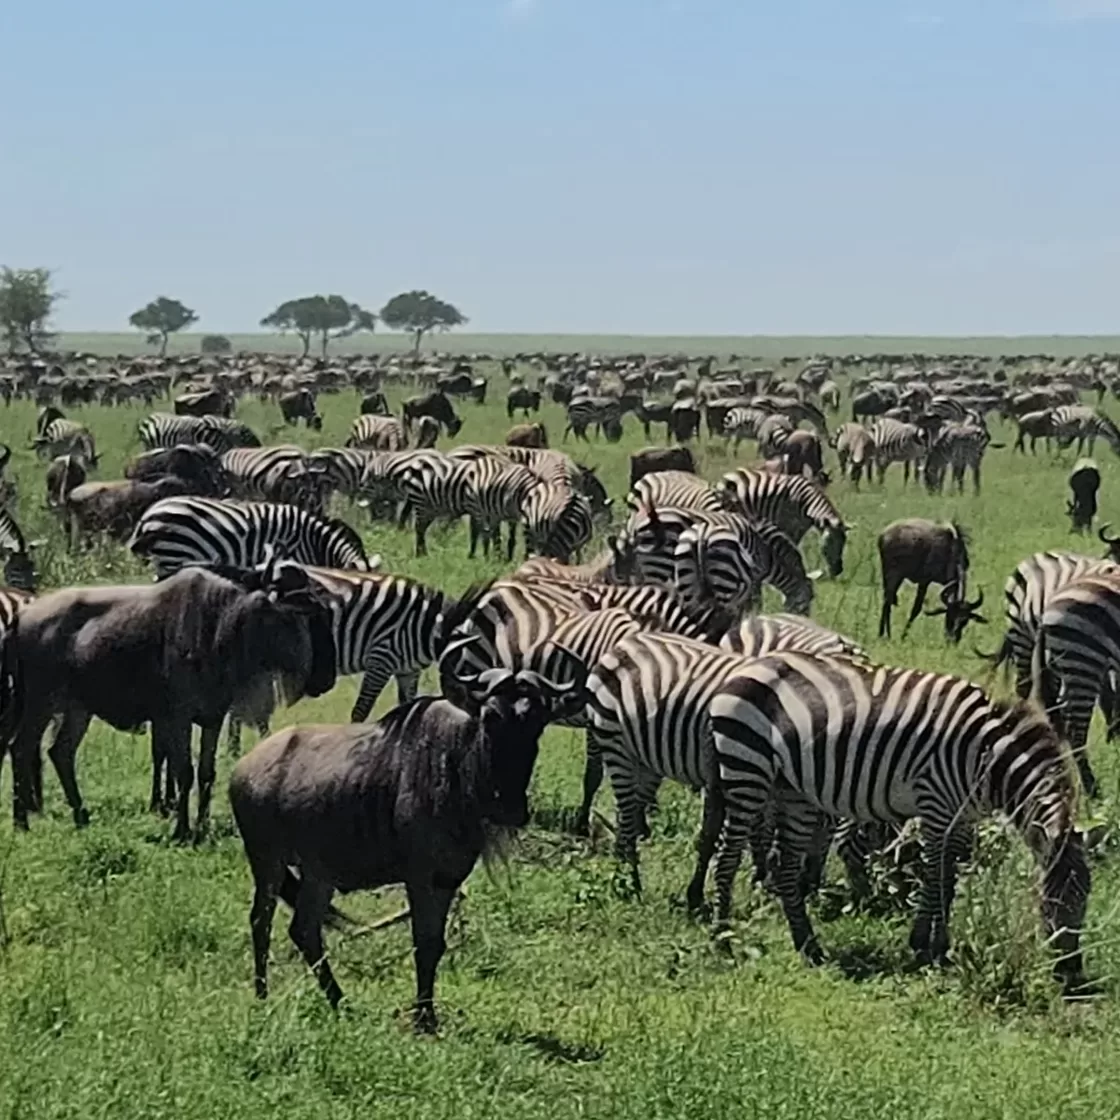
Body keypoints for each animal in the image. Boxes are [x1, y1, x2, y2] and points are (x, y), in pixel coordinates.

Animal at [705, 653, 1089, 983]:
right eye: (1052, 902)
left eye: (1085, 898)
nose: (1071, 974)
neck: (986, 758)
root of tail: (744, 667)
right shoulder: (936, 804)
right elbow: (935, 877)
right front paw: (925, 946)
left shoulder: (961, 817)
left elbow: (949, 879)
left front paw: (939, 948)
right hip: (747, 767)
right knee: (727, 857)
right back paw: (722, 941)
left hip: (792, 789)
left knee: (785, 869)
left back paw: (809, 947)